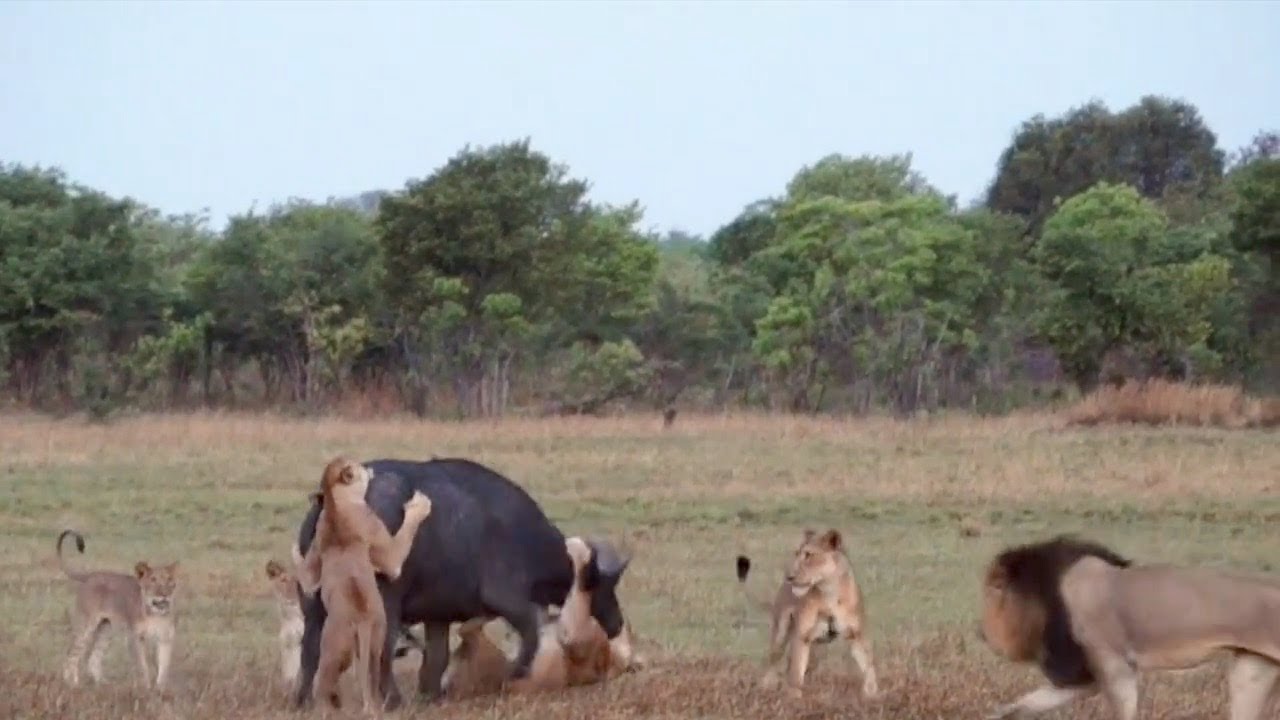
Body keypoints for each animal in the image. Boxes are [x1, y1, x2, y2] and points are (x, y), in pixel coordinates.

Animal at [291, 453, 629, 707]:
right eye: (605, 585)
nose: (616, 624)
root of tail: (327, 502)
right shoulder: (507, 598)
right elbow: (531, 632)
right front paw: (514, 674)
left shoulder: (438, 616)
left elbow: (438, 656)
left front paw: (432, 694)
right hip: (382, 602)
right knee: (380, 648)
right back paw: (391, 700)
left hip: (313, 603)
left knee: (310, 647)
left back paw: (304, 700)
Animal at [977, 532, 1280, 717]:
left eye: (991, 592)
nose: (981, 633)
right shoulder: (1084, 675)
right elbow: (1027, 704)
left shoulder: (1114, 665)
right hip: (1252, 672)